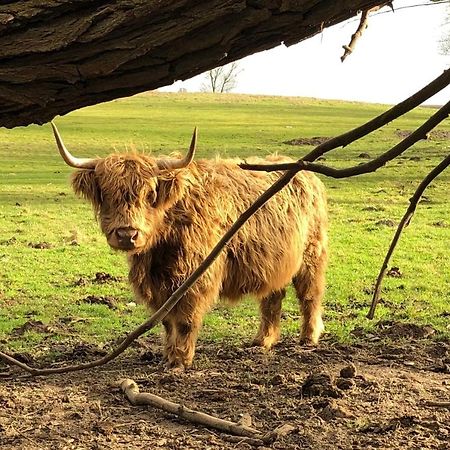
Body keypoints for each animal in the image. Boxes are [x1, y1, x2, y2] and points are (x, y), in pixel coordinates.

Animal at [51, 123, 326, 370]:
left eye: (150, 194)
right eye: (106, 194)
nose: (127, 235)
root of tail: (304, 172)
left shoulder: (194, 277)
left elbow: (185, 320)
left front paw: (180, 361)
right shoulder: (160, 284)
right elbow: (167, 321)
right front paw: (168, 355)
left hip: (312, 255)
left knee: (309, 295)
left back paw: (308, 337)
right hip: (275, 261)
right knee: (273, 297)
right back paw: (262, 341)